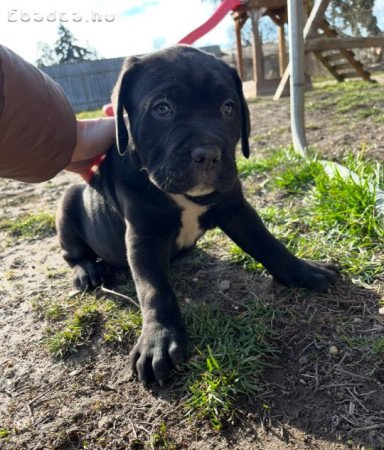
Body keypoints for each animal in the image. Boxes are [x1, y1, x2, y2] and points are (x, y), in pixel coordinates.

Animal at [56, 47, 336, 388]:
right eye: (162, 109)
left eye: (228, 108)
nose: (208, 154)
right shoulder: (143, 236)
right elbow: (154, 290)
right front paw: (159, 340)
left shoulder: (236, 210)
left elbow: (270, 245)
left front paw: (304, 270)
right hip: (67, 203)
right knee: (74, 253)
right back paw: (87, 271)